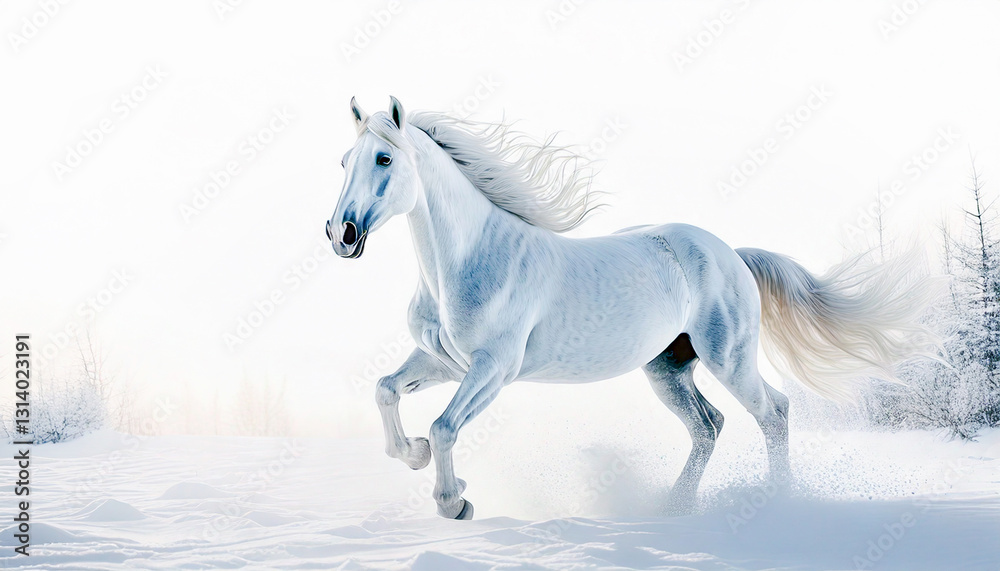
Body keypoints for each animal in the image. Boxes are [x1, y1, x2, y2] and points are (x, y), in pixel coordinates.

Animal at [324, 96, 938, 520]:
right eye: (343, 160)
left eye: (384, 158)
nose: (342, 234)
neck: (471, 259)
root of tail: (731, 254)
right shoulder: (443, 362)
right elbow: (385, 391)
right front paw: (413, 454)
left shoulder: (493, 368)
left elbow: (446, 426)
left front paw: (455, 502)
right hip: (667, 368)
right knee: (709, 426)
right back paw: (673, 510)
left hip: (729, 358)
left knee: (773, 412)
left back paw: (777, 504)